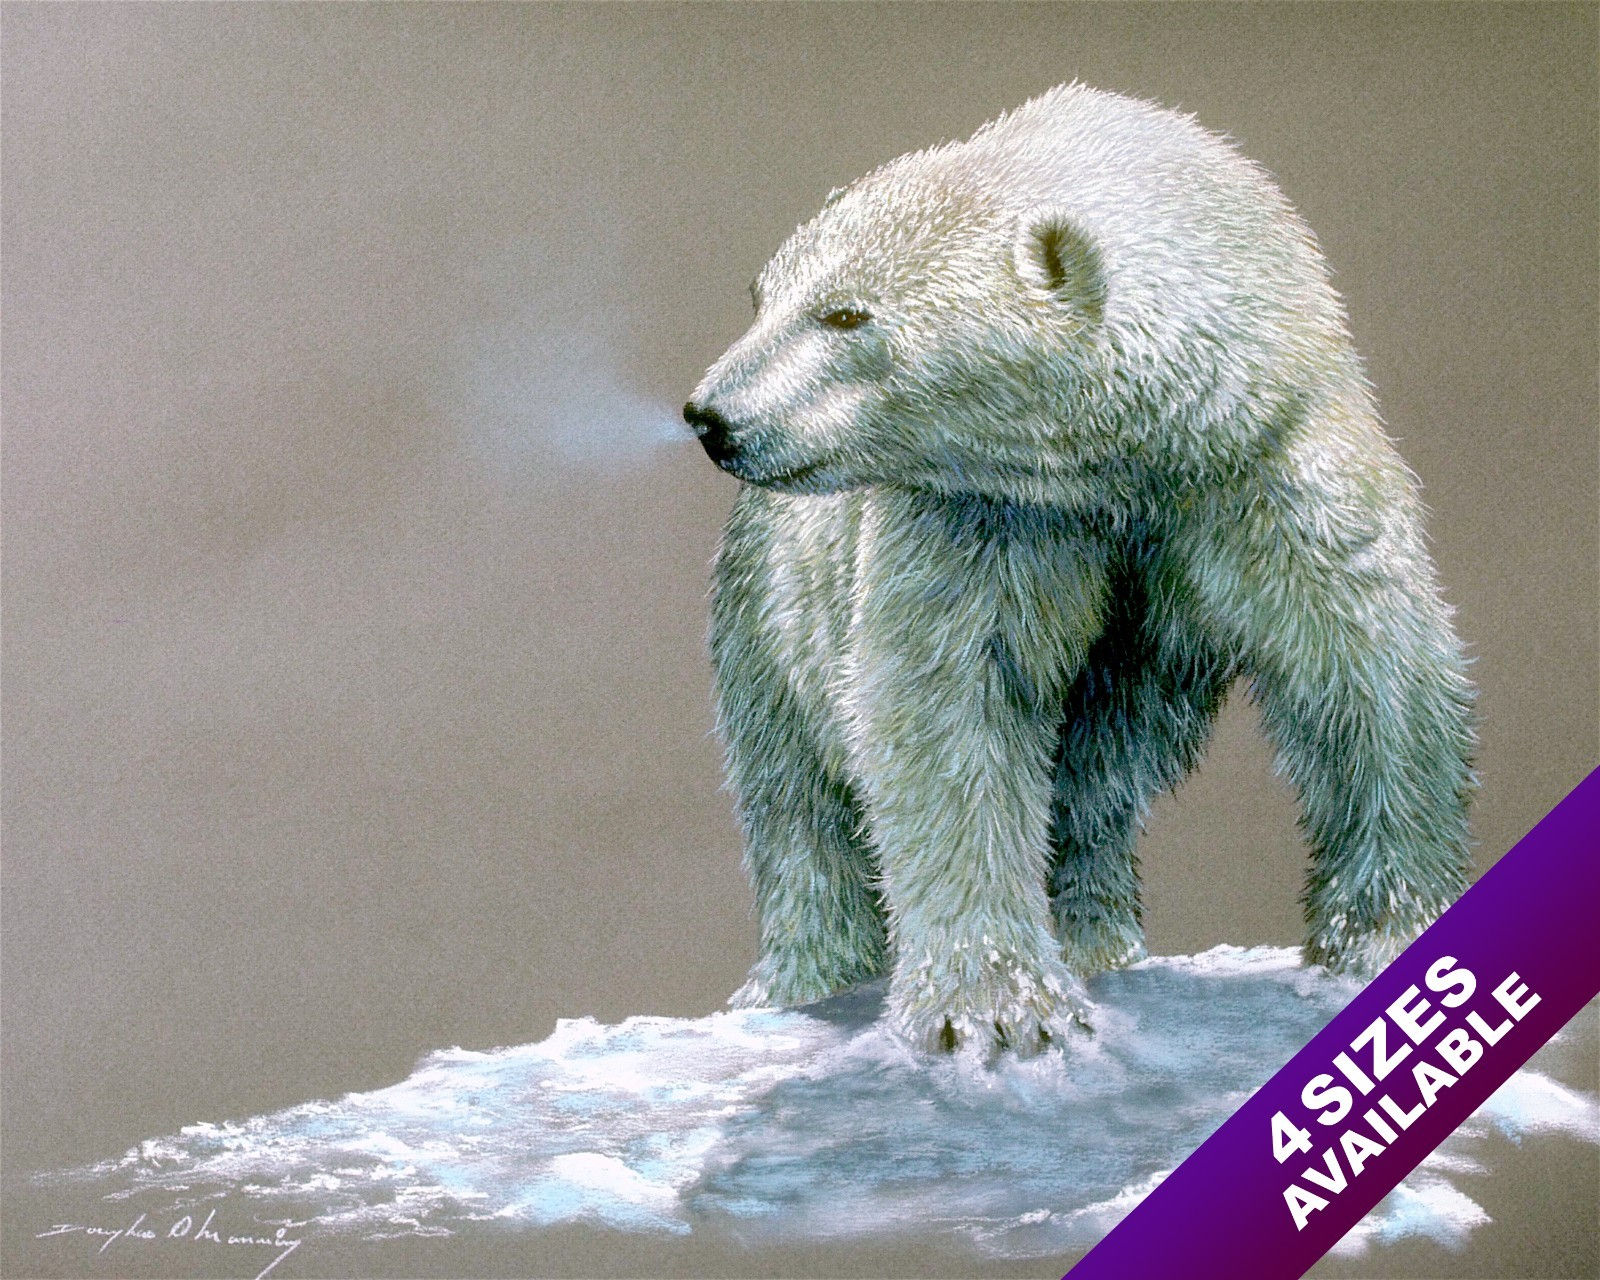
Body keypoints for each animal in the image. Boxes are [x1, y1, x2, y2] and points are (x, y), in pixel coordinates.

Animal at [683, 84, 1475, 1055]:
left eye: (844, 315)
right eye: (761, 297)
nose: (712, 415)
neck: (1137, 456)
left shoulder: (1267, 462)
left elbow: (1365, 662)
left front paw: (1390, 933)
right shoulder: (989, 516)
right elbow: (948, 703)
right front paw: (996, 1009)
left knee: (1104, 765)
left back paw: (1095, 935)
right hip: (767, 610)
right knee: (796, 800)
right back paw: (806, 975)